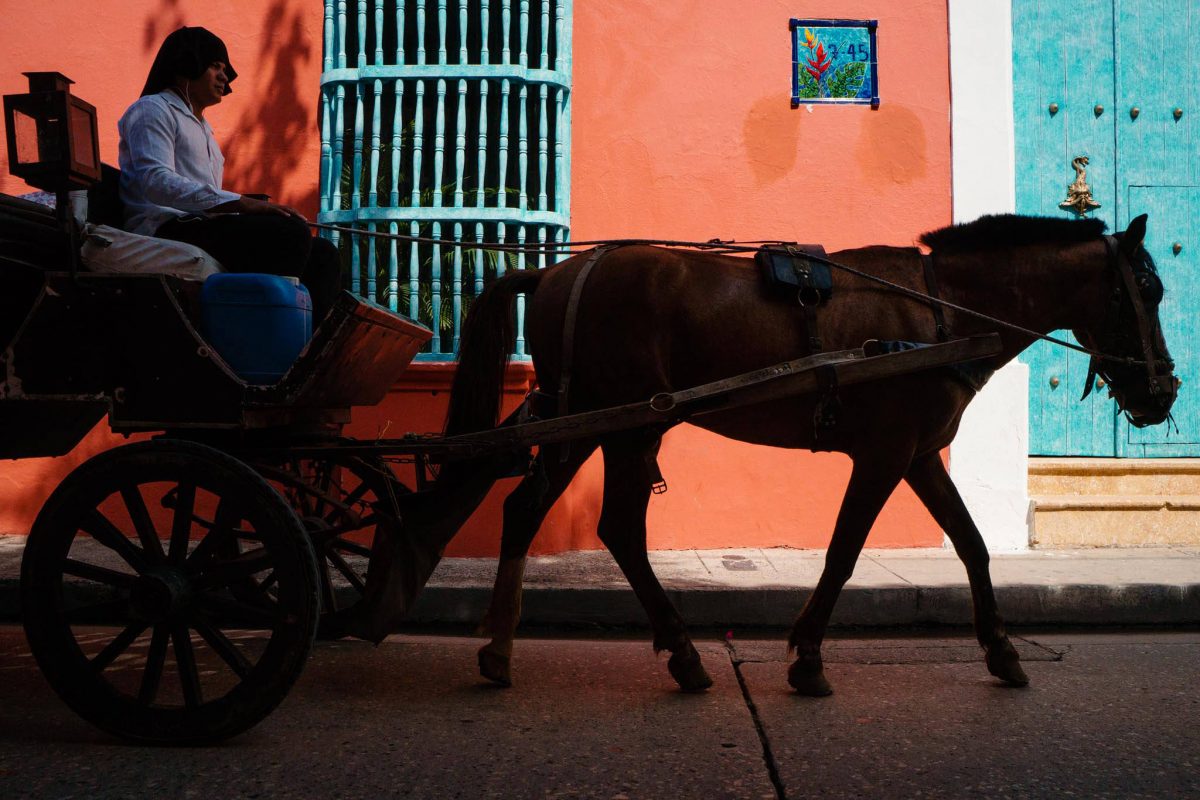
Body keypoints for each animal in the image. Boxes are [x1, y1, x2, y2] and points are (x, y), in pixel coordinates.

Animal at [443, 214, 1176, 696]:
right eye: (1149, 290)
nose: (1163, 391)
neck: (941, 311)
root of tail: (554, 271)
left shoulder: (917, 456)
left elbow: (971, 544)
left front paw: (999, 647)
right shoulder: (884, 454)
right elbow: (845, 550)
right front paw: (808, 659)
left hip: (585, 423)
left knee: (527, 508)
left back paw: (501, 648)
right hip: (627, 428)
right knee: (618, 526)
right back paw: (681, 654)